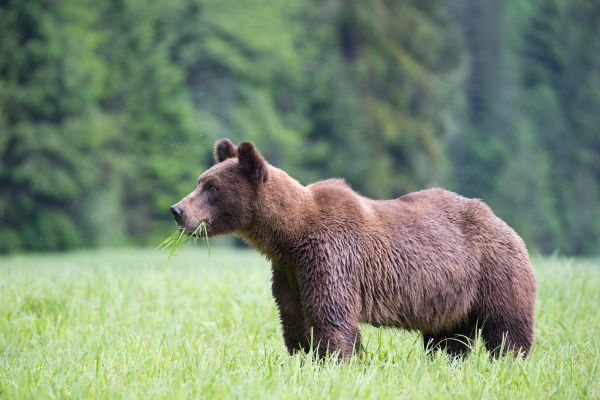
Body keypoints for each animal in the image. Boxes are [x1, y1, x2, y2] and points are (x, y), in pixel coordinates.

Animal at [171, 138, 536, 360]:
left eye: (212, 187)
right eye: (201, 181)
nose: (177, 210)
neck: (290, 235)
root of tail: (503, 223)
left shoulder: (330, 257)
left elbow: (331, 316)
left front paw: (337, 359)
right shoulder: (290, 271)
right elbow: (294, 319)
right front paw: (302, 356)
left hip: (494, 271)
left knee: (507, 328)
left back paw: (510, 360)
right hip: (451, 294)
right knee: (448, 338)